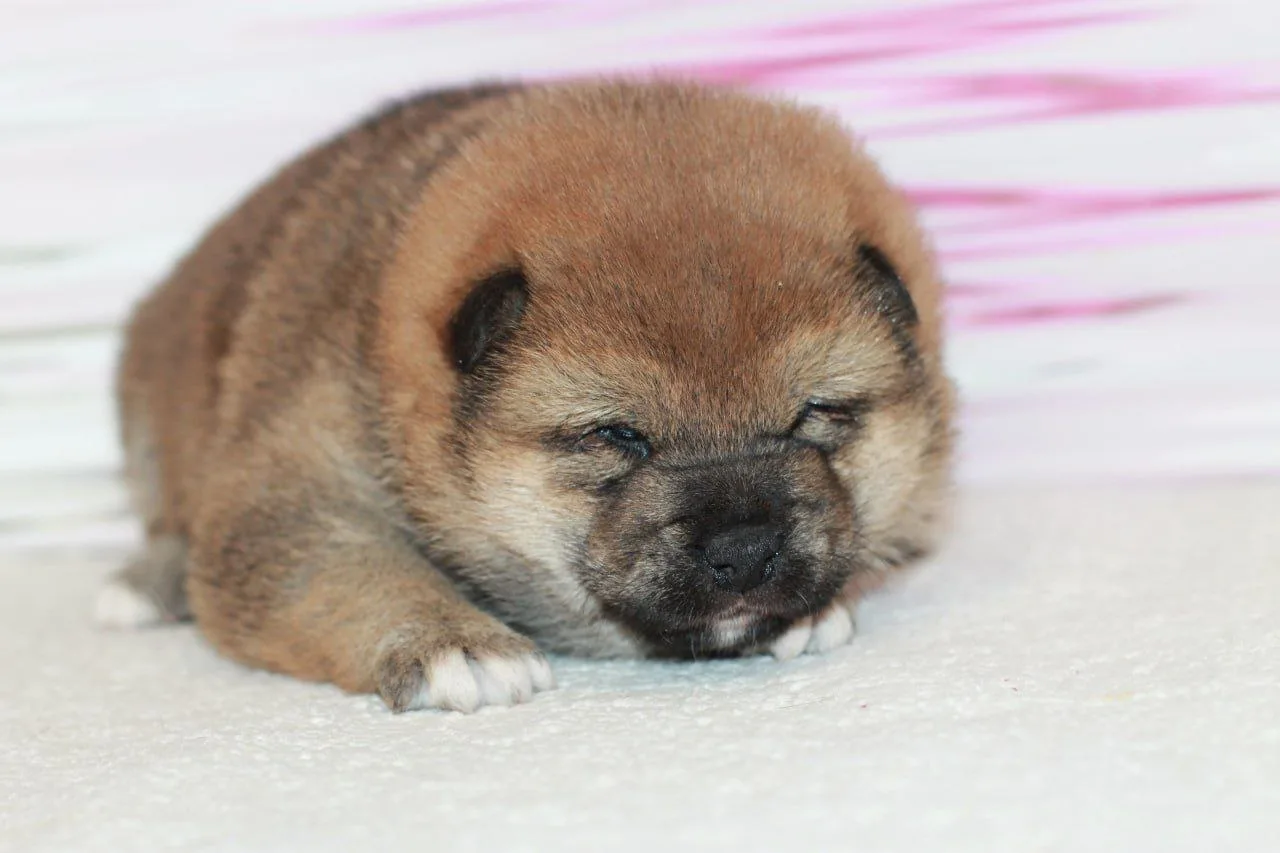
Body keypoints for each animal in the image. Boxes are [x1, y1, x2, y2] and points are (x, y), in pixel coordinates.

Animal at [95, 80, 955, 712]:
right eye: (617, 435)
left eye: (814, 414)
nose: (744, 548)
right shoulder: (292, 489)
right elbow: (348, 567)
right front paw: (455, 644)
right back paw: (142, 585)